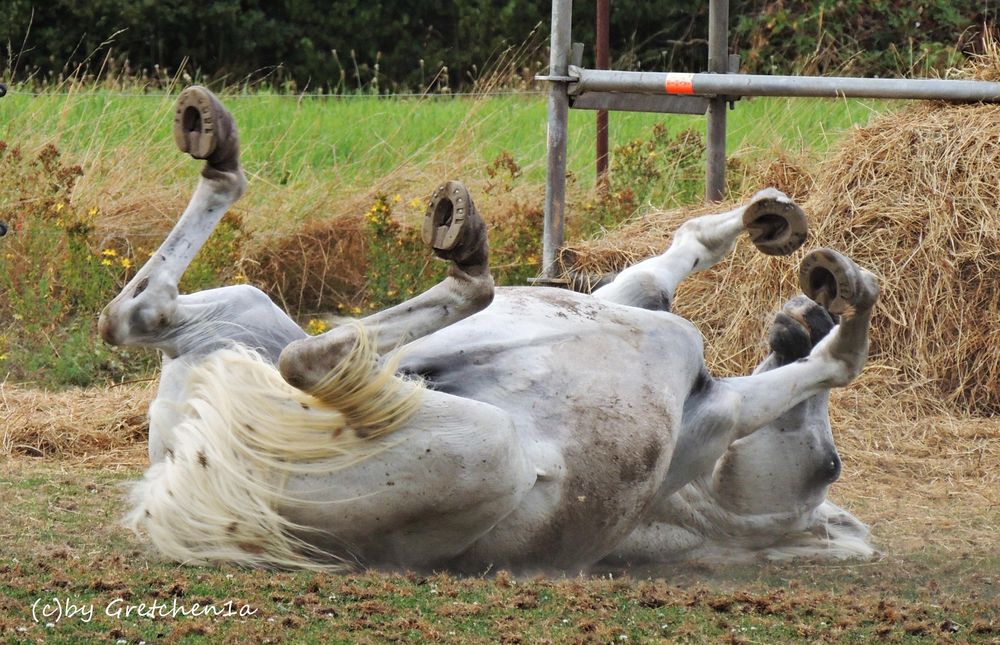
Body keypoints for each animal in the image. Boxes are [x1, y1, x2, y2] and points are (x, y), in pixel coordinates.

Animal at [103, 87, 876, 572]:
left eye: (830, 468)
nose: (805, 316)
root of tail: (181, 477)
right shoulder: (635, 301)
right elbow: (675, 256)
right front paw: (765, 219)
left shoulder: (718, 412)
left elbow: (834, 368)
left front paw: (849, 314)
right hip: (245, 314)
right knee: (141, 315)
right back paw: (218, 144)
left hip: (483, 444)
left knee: (303, 352)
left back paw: (462, 258)